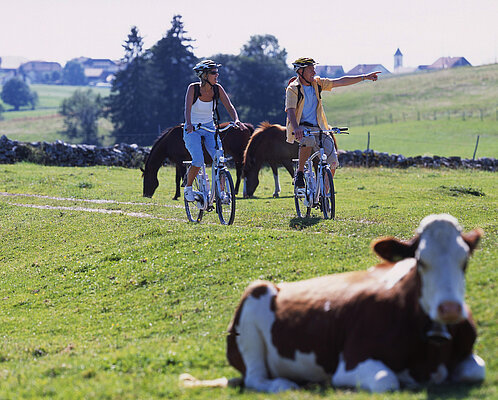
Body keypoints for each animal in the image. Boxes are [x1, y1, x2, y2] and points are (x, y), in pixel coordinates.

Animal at [228, 214, 484, 392]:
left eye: (465, 261)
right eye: (420, 261)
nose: (449, 308)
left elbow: (478, 370)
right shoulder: (350, 362)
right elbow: (386, 380)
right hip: (253, 307)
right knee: (255, 377)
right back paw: (283, 384)